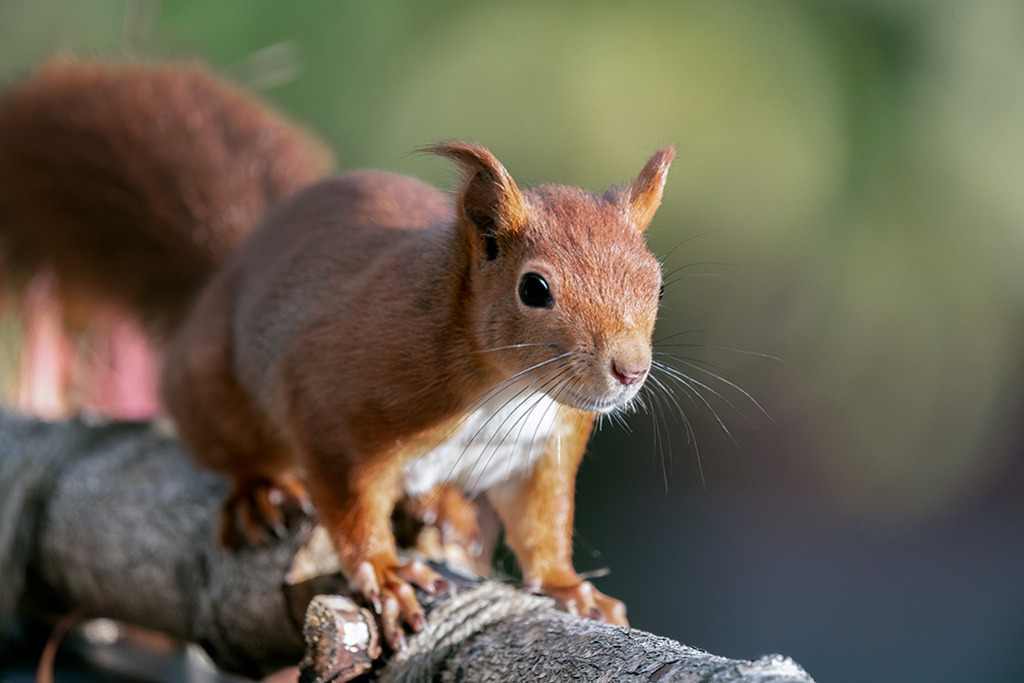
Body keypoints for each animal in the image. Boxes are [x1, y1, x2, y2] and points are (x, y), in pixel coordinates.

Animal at [0, 59, 675, 648]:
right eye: (534, 289)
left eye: (657, 281)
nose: (629, 370)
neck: (507, 388)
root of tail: (231, 269)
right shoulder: (336, 402)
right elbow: (350, 503)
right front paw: (385, 573)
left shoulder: (544, 450)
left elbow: (541, 526)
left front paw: (570, 588)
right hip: (211, 389)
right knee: (229, 447)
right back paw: (261, 491)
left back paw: (442, 505)